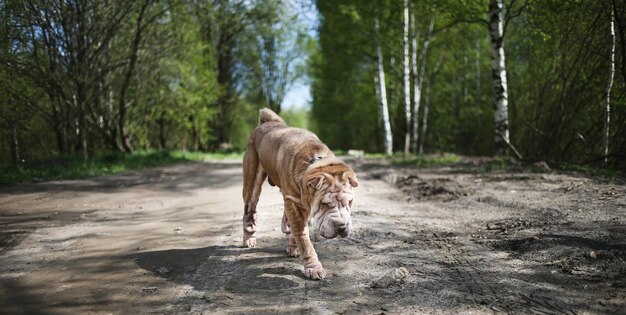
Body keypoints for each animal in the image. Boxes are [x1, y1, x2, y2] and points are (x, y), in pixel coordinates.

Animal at [240, 107, 356, 280]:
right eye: (325, 204)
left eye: (349, 202)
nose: (342, 226)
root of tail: (265, 123)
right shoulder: (295, 206)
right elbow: (304, 240)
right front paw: (314, 267)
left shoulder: (297, 203)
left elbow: (296, 231)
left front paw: (296, 247)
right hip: (252, 182)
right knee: (250, 210)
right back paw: (249, 238)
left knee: (286, 222)